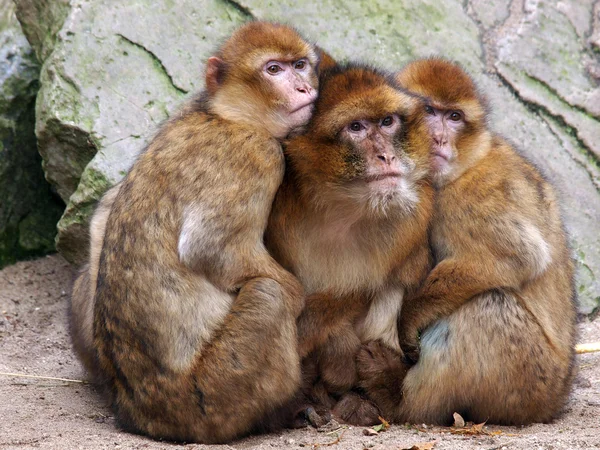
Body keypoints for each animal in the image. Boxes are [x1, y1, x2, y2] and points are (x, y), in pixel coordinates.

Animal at [75, 22, 326, 442]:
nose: (305, 89)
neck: (228, 115)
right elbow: (210, 248)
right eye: (274, 69)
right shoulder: (256, 155)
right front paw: (297, 297)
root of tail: (141, 412)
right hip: (212, 395)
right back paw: (278, 412)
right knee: (268, 294)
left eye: (300, 65)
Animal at [354, 58, 580, 428]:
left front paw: (410, 316)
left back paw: (399, 400)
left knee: (486, 306)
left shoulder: (466, 201)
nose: (439, 137)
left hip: (528, 382)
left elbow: (521, 257)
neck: (466, 163)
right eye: (429, 110)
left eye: (454, 117)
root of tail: (555, 401)